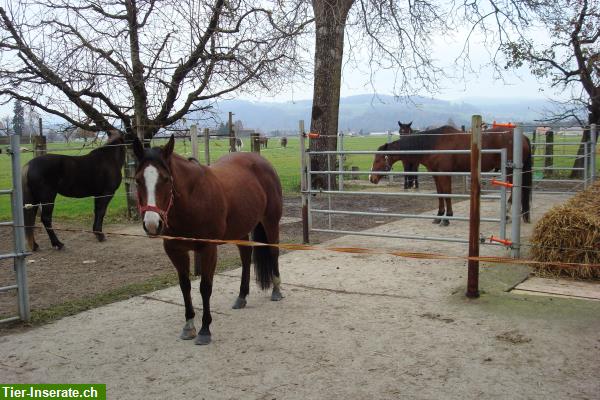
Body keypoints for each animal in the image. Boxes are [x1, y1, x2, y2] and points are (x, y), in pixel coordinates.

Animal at [132, 134, 282, 344]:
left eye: (166, 179)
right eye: (138, 180)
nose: (152, 224)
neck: (192, 200)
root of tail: (262, 161)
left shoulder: (208, 249)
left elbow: (205, 287)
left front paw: (205, 330)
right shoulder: (175, 251)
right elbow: (185, 286)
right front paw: (189, 326)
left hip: (270, 221)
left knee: (273, 251)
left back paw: (276, 290)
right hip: (241, 229)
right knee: (246, 257)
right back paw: (242, 296)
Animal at [368, 126, 532, 225]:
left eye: (378, 159)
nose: (371, 178)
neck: (433, 144)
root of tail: (523, 137)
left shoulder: (445, 174)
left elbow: (447, 193)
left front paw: (447, 218)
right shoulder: (436, 175)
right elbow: (440, 194)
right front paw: (439, 215)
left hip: (511, 172)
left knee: (515, 190)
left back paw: (507, 215)